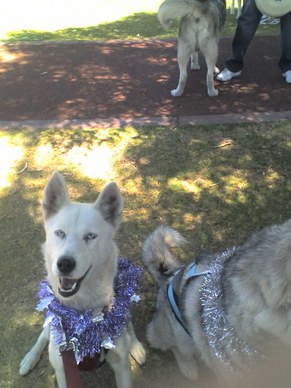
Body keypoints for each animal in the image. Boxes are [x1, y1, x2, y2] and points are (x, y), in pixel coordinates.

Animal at [19, 173, 146, 388]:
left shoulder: (121, 366)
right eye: (60, 233)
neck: (83, 315)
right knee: (44, 333)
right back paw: (30, 358)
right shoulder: (63, 369)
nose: (65, 264)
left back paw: (136, 346)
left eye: (90, 236)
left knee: (127, 322)